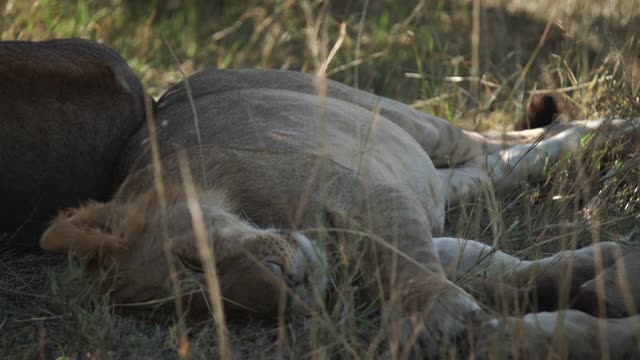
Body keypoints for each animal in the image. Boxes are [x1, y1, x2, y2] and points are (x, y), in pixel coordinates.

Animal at [38, 67, 640, 358]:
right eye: (214, 313)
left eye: (191, 259)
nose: (291, 287)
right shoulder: (410, 223)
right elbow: (493, 265)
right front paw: (586, 271)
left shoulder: (371, 197)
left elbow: (412, 265)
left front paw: (441, 317)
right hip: (440, 173)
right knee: (504, 163)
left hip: (393, 115)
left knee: (494, 137)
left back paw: (617, 129)